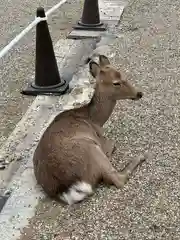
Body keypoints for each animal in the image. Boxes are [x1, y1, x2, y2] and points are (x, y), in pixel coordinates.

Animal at [33, 55, 146, 205]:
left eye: (123, 74)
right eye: (116, 83)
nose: (139, 93)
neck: (96, 120)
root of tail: (66, 190)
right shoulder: (101, 141)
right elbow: (112, 144)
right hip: (91, 149)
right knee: (116, 179)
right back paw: (140, 156)